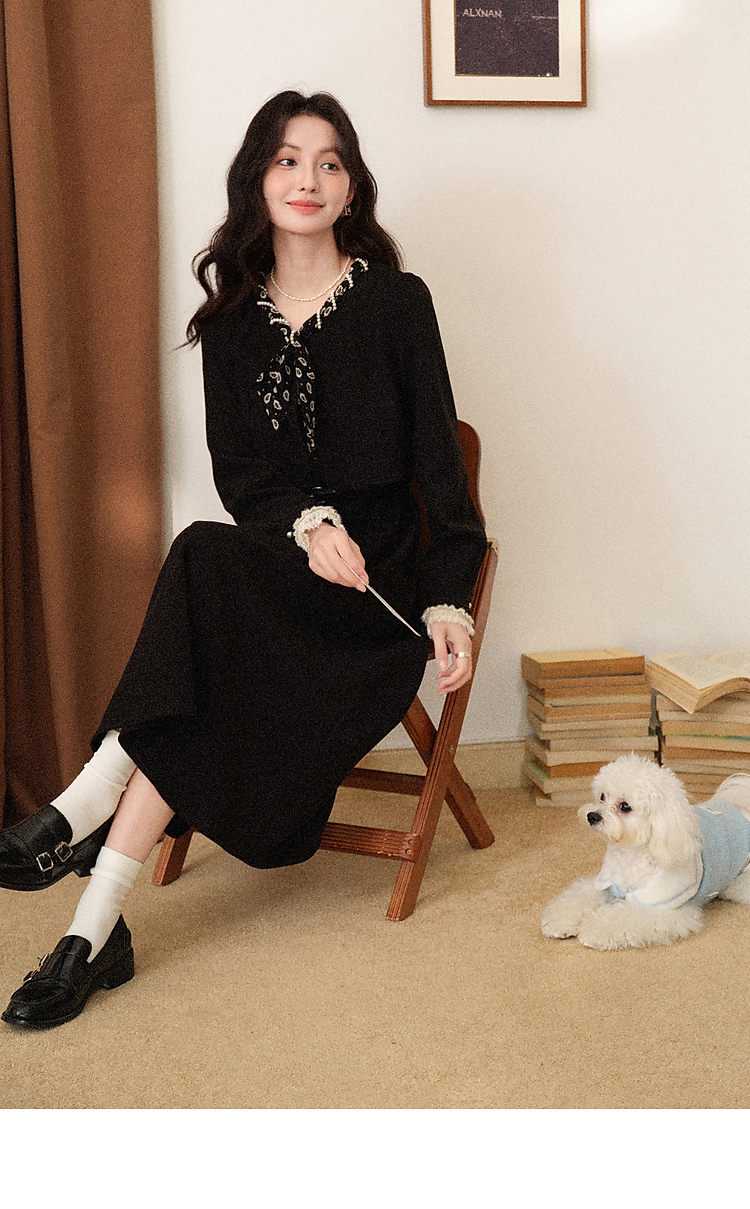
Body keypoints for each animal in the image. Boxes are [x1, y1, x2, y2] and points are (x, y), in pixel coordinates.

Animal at [541, 753, 750, 950]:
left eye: (625, 806)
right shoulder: (605, 884)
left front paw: (595, 930)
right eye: (602, 796)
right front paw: (559, 920)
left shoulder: (659, 907)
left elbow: (623, 917)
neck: (631, 856)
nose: (592, 816)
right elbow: (579, 896)